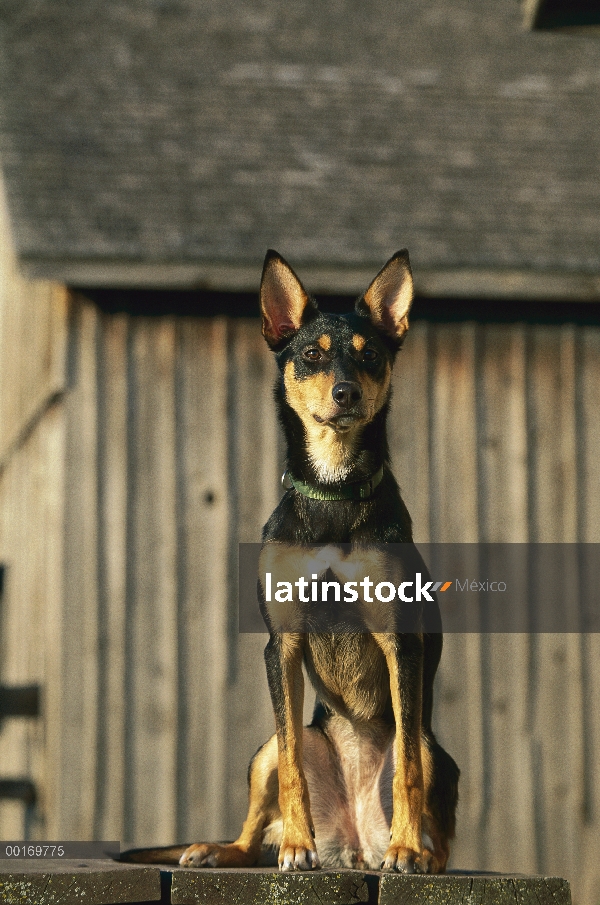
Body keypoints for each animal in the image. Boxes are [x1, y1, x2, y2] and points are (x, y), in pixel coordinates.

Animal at [123, 251, 460, 872]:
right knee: (260, 815)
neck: (333, 489)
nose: (346, 393)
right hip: (262, 752)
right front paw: (297, 846)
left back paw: (415, 853)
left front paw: (406, 848)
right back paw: (221, 849)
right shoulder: (281, 645)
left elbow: (406, 770)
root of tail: (353, 846)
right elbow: (291, 769)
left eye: (370, 355)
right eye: (311, 355)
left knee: (432, 806)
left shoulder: (402, 642)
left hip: (434, 748)